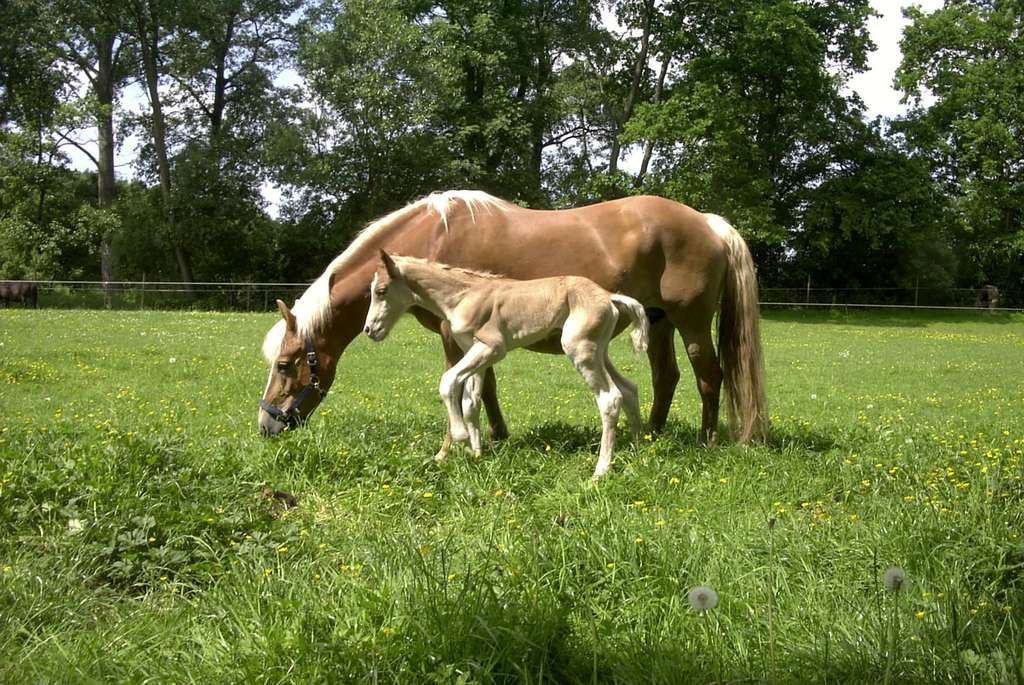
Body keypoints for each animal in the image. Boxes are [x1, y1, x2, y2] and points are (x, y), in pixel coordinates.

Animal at [260, 189, 765, 444]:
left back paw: (707, 440)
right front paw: (496, 435)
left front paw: (457, 443)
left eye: (284, 365)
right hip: (659, 323)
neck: (433, 237)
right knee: (665, 378)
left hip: (692, 323)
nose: (266, 426)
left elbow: (461, 386)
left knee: (708, 376)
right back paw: (653, 436)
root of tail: (708, 222)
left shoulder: (451, 335)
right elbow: (485, 388)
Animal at [362, 249, 647, 475]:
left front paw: (461, 436)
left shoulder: (492, 348)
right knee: (629, 388)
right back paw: (638, 448)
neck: (463, 296)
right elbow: (471, 402)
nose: (369, 330)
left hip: (580, 350)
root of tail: (608, 296)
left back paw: (601, 471)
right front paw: (476, 454)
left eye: (381, 291)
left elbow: (448, 381)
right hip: (599, 352)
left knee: (610, 398)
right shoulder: (475, 352)